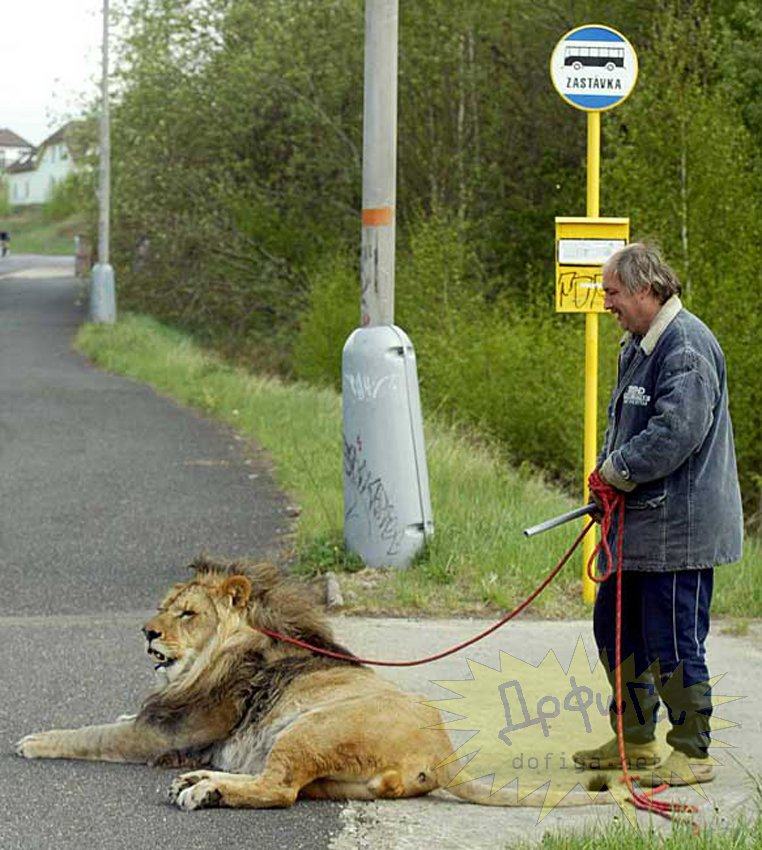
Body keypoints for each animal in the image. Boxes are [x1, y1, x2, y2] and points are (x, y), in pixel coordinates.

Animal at [16, 556, 612, 808]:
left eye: (187, 614)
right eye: (164, 607)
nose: (147, 631)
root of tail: (443, 752)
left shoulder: (162, 734)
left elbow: (89, 733)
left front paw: (31, 740)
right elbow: (113, 718)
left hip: (308, 729)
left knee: (279, 791)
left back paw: (204, 790)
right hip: (335, 774)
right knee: (286, 786)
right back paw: (202, 781)